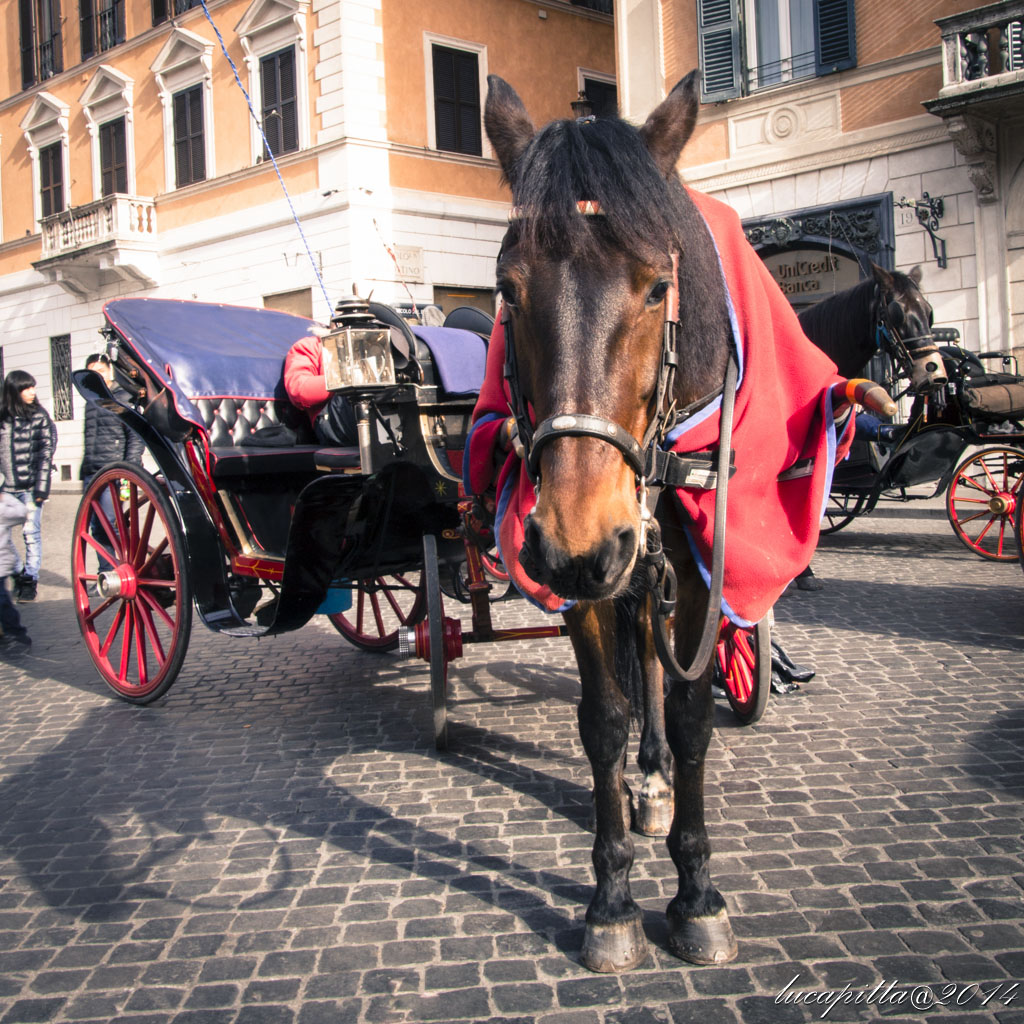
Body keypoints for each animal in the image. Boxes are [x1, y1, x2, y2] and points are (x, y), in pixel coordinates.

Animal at [478, 73, 857, 973]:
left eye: (657, 286)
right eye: (508, 290)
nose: (583, 538)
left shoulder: (693, 562)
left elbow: (689, 715)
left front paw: (695, 891)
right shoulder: (579, 567)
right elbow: (604, 717)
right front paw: (613, 897)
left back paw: (655, 782)